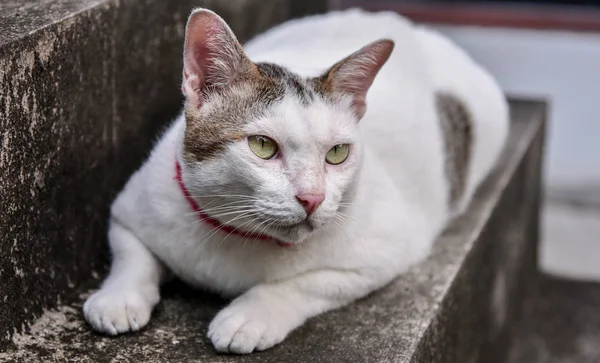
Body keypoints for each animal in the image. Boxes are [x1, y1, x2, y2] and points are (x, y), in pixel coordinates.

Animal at [83, 7, 506, 356]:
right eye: (262, 146)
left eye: (337, 153)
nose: (313, 198)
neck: (236, 239)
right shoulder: (130, 209)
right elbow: (132, 256)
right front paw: (118, 298)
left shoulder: (383, 256)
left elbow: (301, 284)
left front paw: (251, 315)